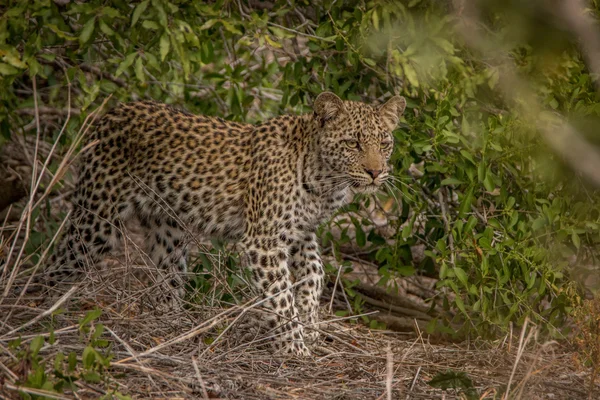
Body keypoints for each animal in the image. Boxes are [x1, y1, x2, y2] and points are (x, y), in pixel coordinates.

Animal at [44, 91, 406, 356]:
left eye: (384, 143)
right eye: (352, 143)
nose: (376, 172)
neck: (324, 180)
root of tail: (109, 114)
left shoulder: (302, 233)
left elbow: (315, 274)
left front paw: (311, 324)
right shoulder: (264, 240)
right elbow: (281, 297)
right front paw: (296, 349)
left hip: (168, 229)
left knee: (167, 277)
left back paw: (174, 325)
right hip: (97, 222)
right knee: (58, 261)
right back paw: (45, 310)